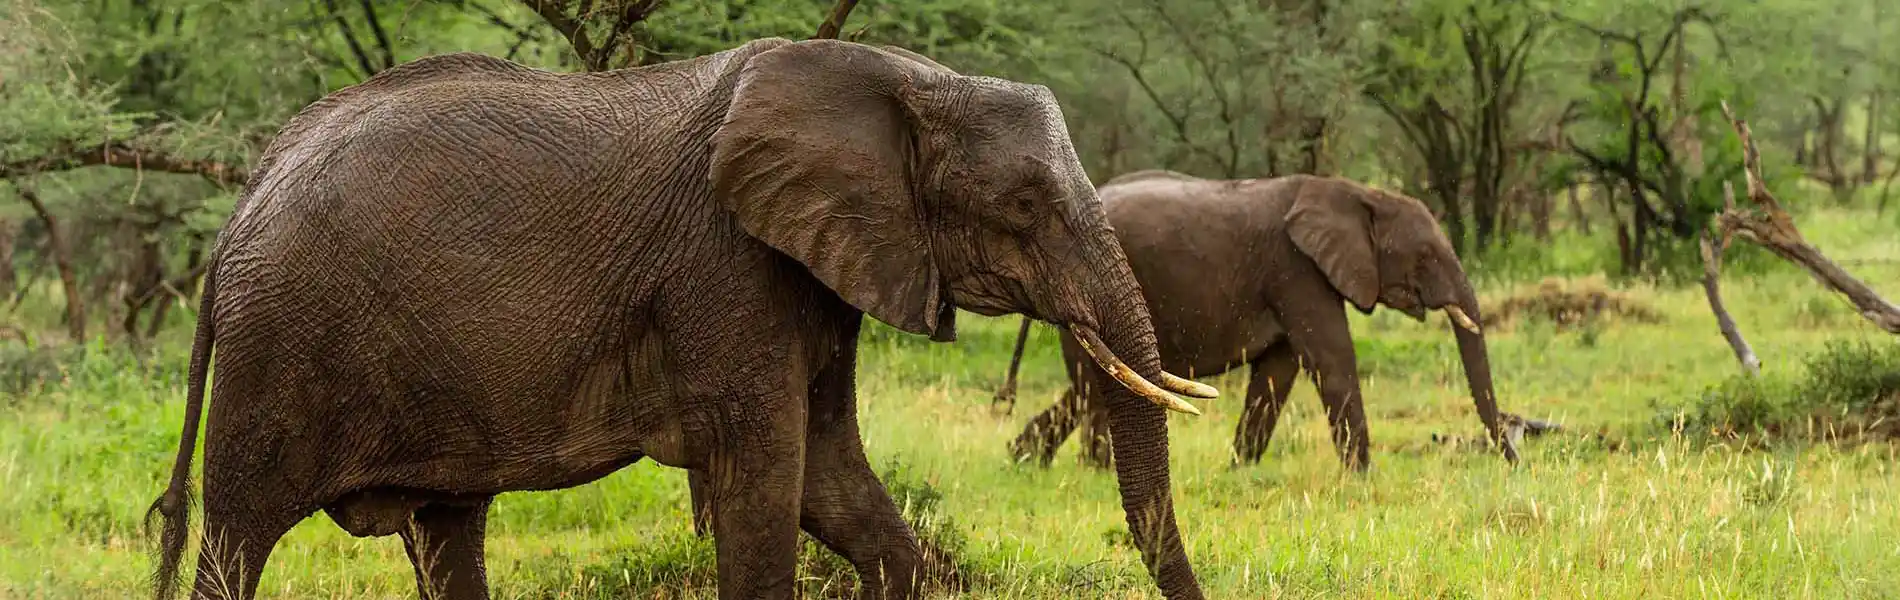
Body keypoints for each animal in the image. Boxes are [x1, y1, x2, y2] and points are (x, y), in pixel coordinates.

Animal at [144, 39, 1216, 600]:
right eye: (1027, 205)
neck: (899, 77)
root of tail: (240, 207)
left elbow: (833, 481)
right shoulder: (726, 270)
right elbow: (769, 480)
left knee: (448, 530)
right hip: (281, 351)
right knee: (238, 537)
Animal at [995, 169, 1512, 472]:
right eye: (1424, 256)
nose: (1511, 460)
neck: (1360, 193)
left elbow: (1277, 372)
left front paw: (1241, 469)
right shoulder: (1297, 270)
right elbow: (1331, 359)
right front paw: (1362, 476)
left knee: (1088, 388)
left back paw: (1025, 460)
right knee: (1096, 390)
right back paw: (1094, 469)